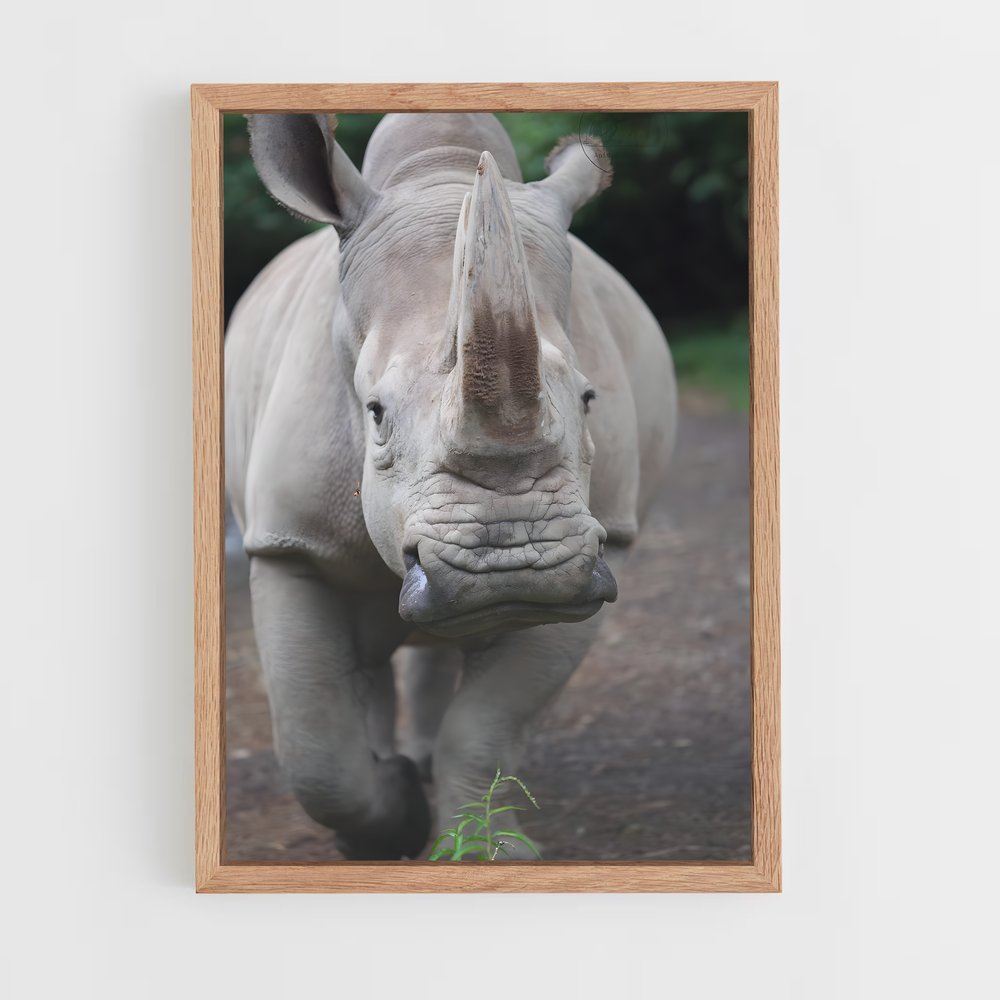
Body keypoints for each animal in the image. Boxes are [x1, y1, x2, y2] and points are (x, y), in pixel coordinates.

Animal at [225, 112, 677, 860]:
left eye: (589, 400)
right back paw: (400, 771)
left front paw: (492, 851)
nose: (512, 568)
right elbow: (315, 750)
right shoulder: (288, 541)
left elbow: (489, 726)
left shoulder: (605, 542)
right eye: (375, 413)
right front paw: (391, 824)